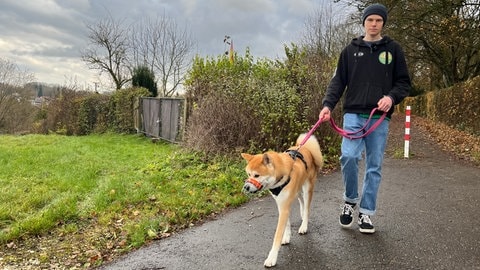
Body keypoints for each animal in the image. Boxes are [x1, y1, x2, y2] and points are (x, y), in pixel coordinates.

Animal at [242, 134, 324, 266]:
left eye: (256, 175)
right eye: (249, 174)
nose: (246, 187)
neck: (280, 177)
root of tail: (305, 148)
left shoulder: (284, 206)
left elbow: (277, 235)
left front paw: (272, 258)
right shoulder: (281, 204)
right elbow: (287, 225)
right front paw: (287, 237)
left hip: (308, 188)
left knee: (307, 207)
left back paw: (304, 225)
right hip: (297, 189)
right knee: (300, 200)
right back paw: (301, 213)